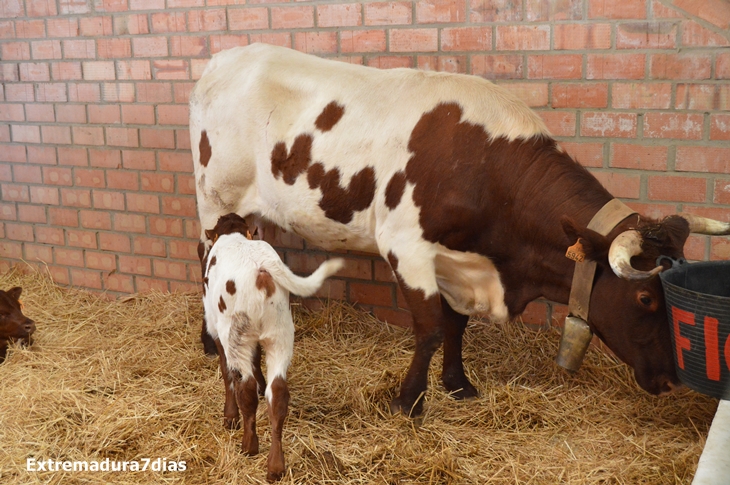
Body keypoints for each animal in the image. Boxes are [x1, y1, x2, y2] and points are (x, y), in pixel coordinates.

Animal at [191, 44, 728, 416]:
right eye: (645, 298)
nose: (670, 379)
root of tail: (224, 57)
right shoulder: (405, 246)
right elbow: (430, 328)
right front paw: (409, 401)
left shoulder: (455, 260)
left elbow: (455, 324)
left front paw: (458, 384)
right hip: (214, 199)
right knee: (206, 259)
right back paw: (210, 340)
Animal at [203, 213, 342, 480]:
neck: (232, 234)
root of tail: (263, 267)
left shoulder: (214, 327)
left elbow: (226, 373)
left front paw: (230, 417)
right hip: (281, 334)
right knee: (277, 392)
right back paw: (275, 466)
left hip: (236, 335)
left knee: (244, 385)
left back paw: (249, 446)